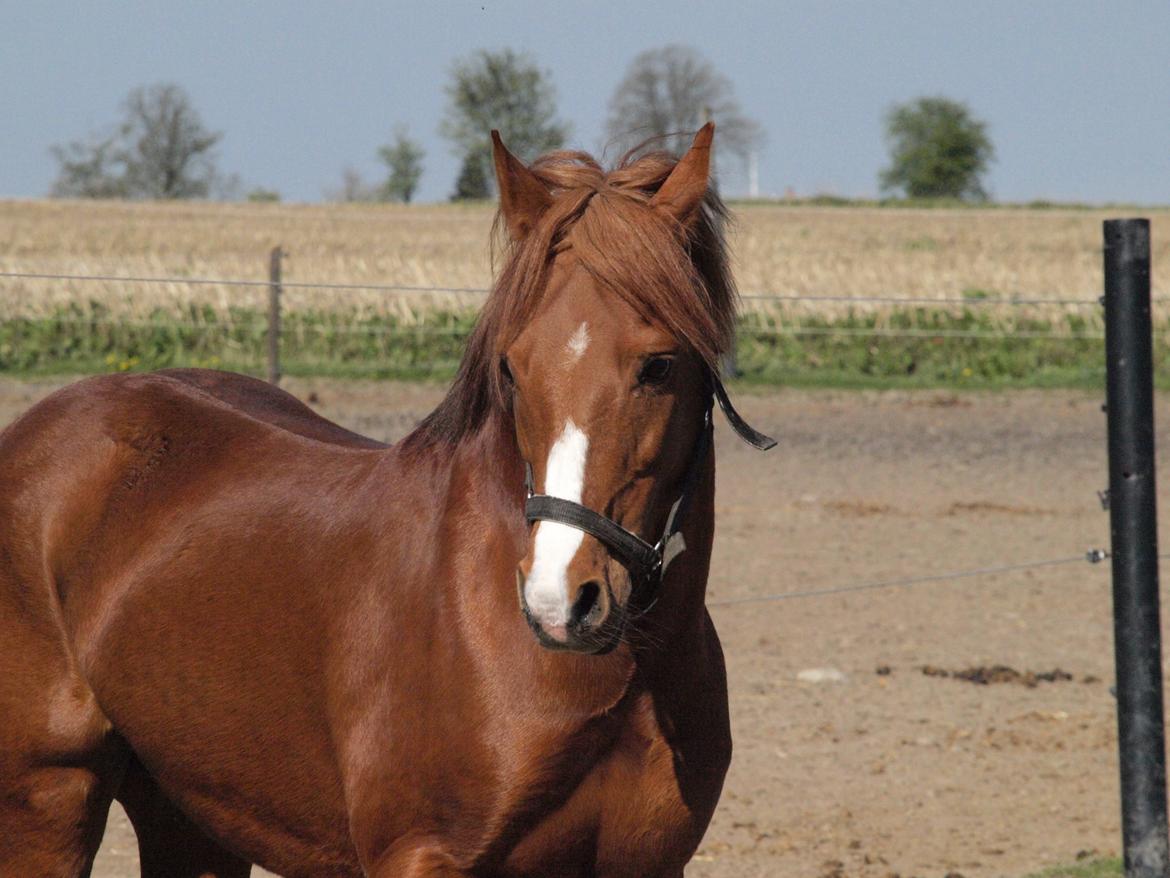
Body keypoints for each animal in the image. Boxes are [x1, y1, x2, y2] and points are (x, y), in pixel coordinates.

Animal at [0, 123, 772, 877]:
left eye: (659, 365)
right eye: (512, 367)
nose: (560, 599)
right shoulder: (420, 856)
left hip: (190, 815)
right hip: (49, 802)